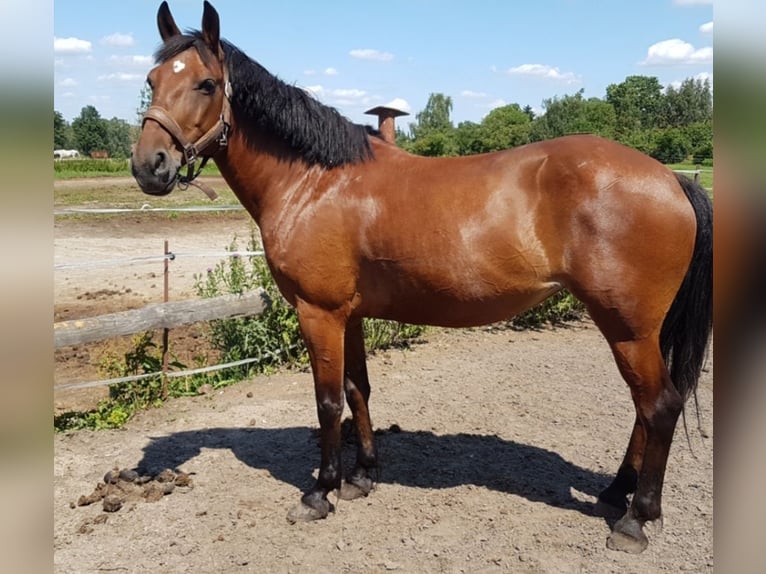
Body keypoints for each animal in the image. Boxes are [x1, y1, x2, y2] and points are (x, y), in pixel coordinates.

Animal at [130, 2, 712, 556]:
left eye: (206, 83)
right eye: (152, 81)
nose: (148, 166)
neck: (315, 181)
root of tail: (671, 178)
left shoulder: (319, 313)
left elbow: (327, 402)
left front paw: (320, 491)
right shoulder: (350, 314)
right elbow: (357, 389)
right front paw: (362, 476)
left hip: (627, 327)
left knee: (659, 406)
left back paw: (636, 519)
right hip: (636, 330)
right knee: (644, 409)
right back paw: (617, 492)